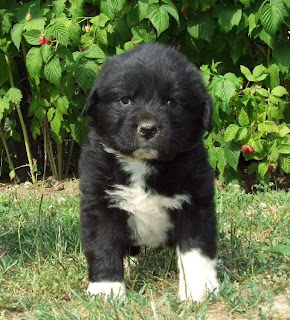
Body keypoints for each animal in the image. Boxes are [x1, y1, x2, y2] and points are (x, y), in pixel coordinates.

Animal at [78, 43, 219, 302]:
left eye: (172, 102)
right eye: (125, 100)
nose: (148, 128)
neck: (143, 165)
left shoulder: (195, 202)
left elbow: (195, 250)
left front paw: (196, 289)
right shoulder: (101, 202)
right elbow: (103, 245)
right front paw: (107, 289)